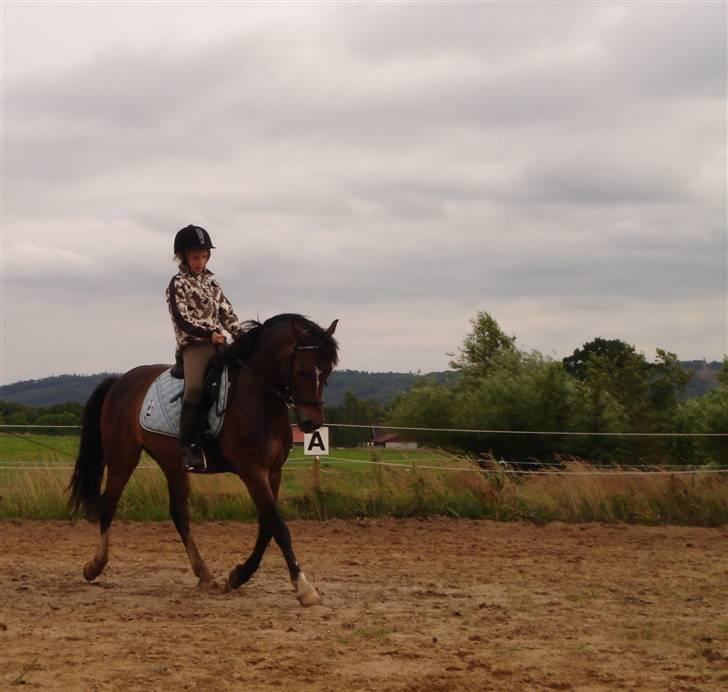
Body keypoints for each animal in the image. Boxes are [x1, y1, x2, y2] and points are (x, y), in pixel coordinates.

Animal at [67, 314, 340, 604]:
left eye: (327, 372)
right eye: (303, 371)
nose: (312, 423)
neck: (258, 397)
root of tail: (120, 381)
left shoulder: (273, 472)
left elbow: (267, 526)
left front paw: (238, 575)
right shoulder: (253, 472)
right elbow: (278, 527)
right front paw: (304, 588)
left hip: (172, 463)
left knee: (179, 514)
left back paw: (205, 574)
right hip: (122, 458)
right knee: (108, 504)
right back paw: (94, 566)